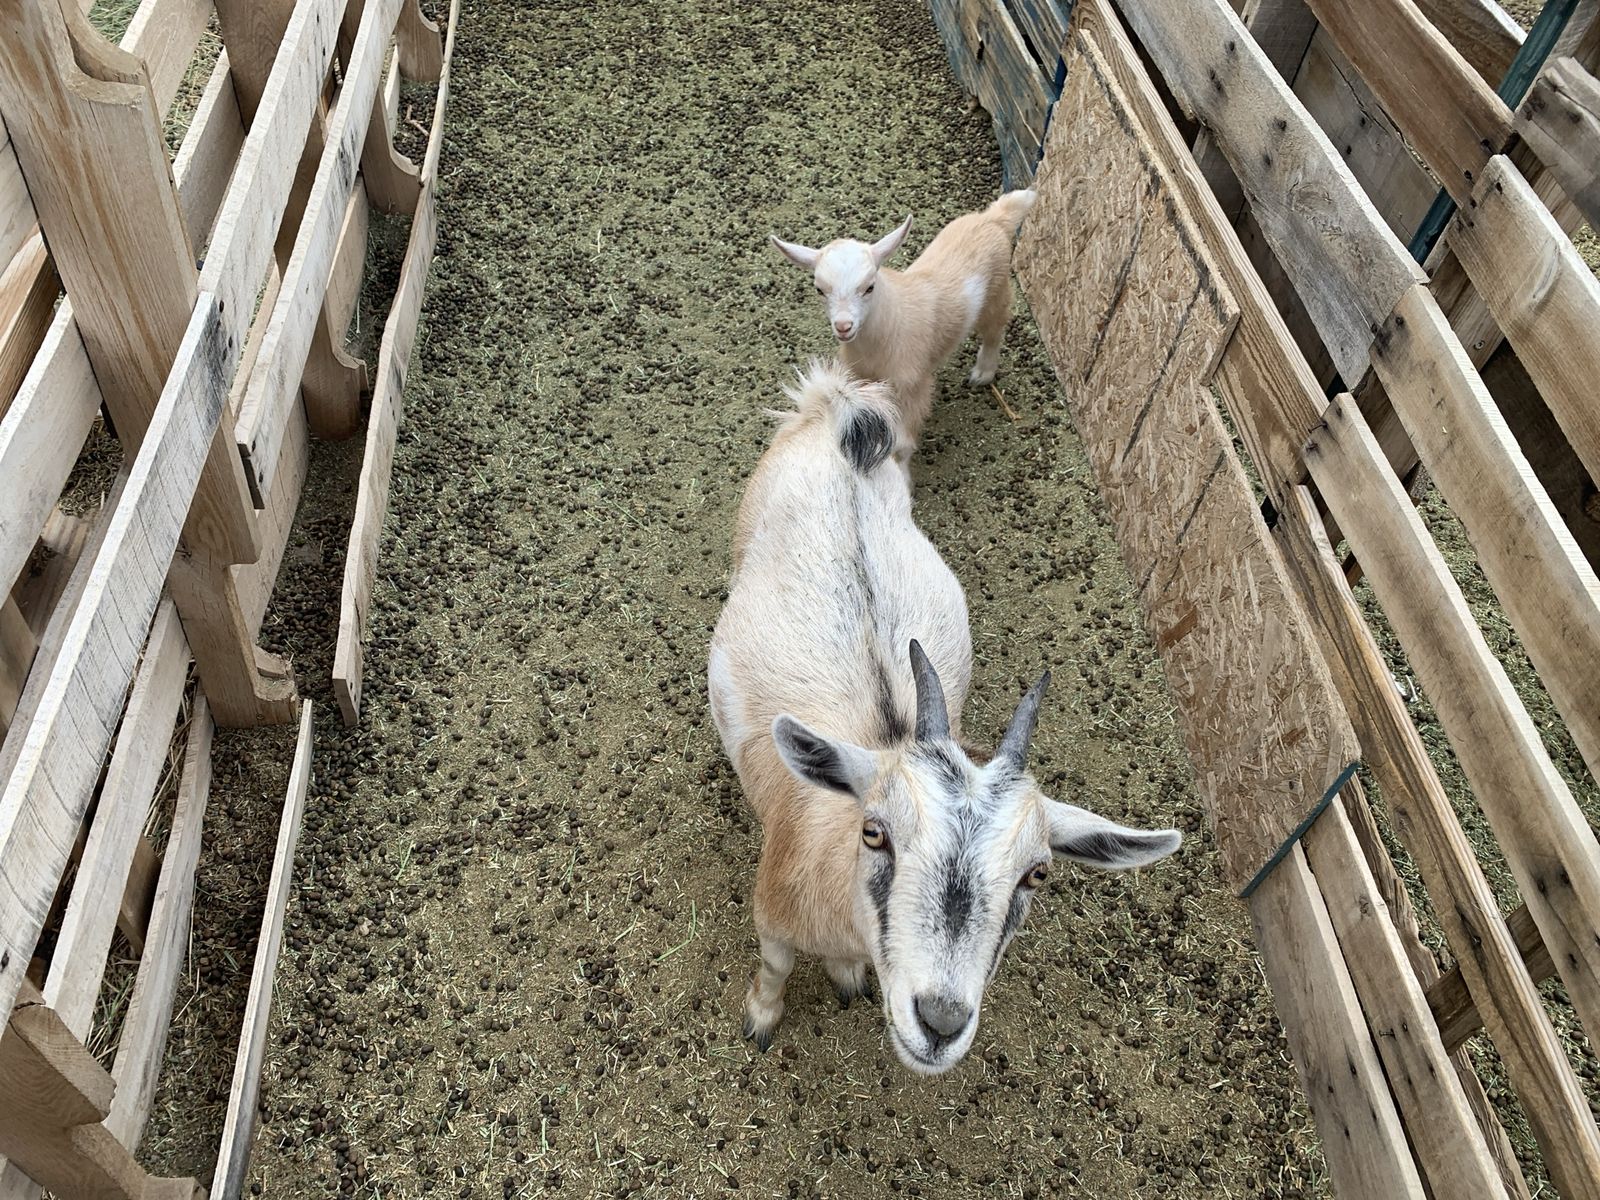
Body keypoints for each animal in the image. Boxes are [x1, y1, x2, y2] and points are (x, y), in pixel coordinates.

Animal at [708, 359, 1181, 1075]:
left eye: (1038, 873)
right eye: (875, 832)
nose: (940, 1020)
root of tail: (835, 417)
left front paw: (846, 978)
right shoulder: (772, 916)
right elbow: (774, 969)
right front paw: (761, 1020)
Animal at [769, 190, 1036, 458]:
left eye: (869, 287)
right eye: (819, 290)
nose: (844, 327)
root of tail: (995, 217)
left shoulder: (912, 387)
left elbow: (903, 443)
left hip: (996, 292)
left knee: (995, 328)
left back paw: (983, 372)